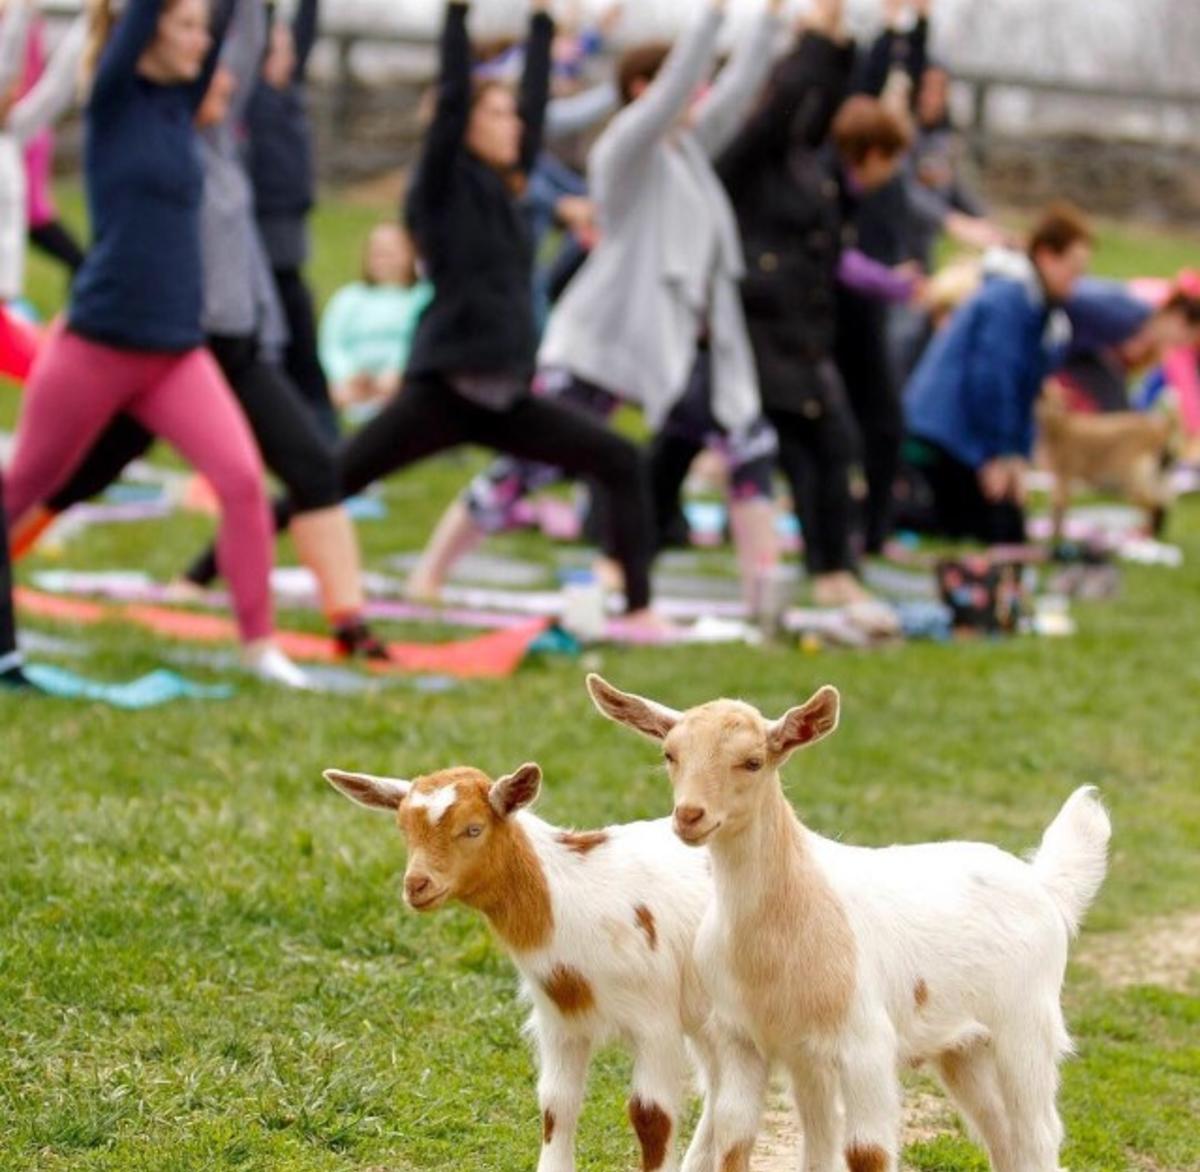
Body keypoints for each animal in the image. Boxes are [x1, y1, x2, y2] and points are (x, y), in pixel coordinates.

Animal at [319, 758, 724, 1170]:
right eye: (404, 829)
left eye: (473, 828)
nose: (417, 885)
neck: (570, 897)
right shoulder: (560, 1021)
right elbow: (555, 1104)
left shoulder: (654, 1020)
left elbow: (651, 1116)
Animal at [585, 676, 1108, 1170]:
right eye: (669, 754)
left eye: (753, 761)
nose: (690, 815)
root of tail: (1042, 884)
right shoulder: (741, 1039)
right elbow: (736, 1146)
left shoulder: (867, 1044)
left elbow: (866, 1153)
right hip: (963, 1047)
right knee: (1000, 1134)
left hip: (1026, 1025)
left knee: (1038, 1135)